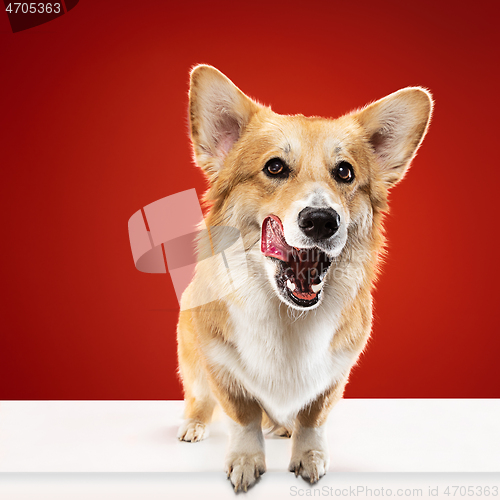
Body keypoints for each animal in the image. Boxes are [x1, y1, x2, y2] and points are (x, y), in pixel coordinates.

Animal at [177, 65, 434, 492]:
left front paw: (308, 457)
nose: (321, 220)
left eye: (345, 171)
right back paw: (194, 426)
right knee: (199, 398)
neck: (289, 317)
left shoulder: (334, 373)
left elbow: (313, 417)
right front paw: (246, 461)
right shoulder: (220, 363)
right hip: (193, 359)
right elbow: (243, 415)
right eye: (274, 167)